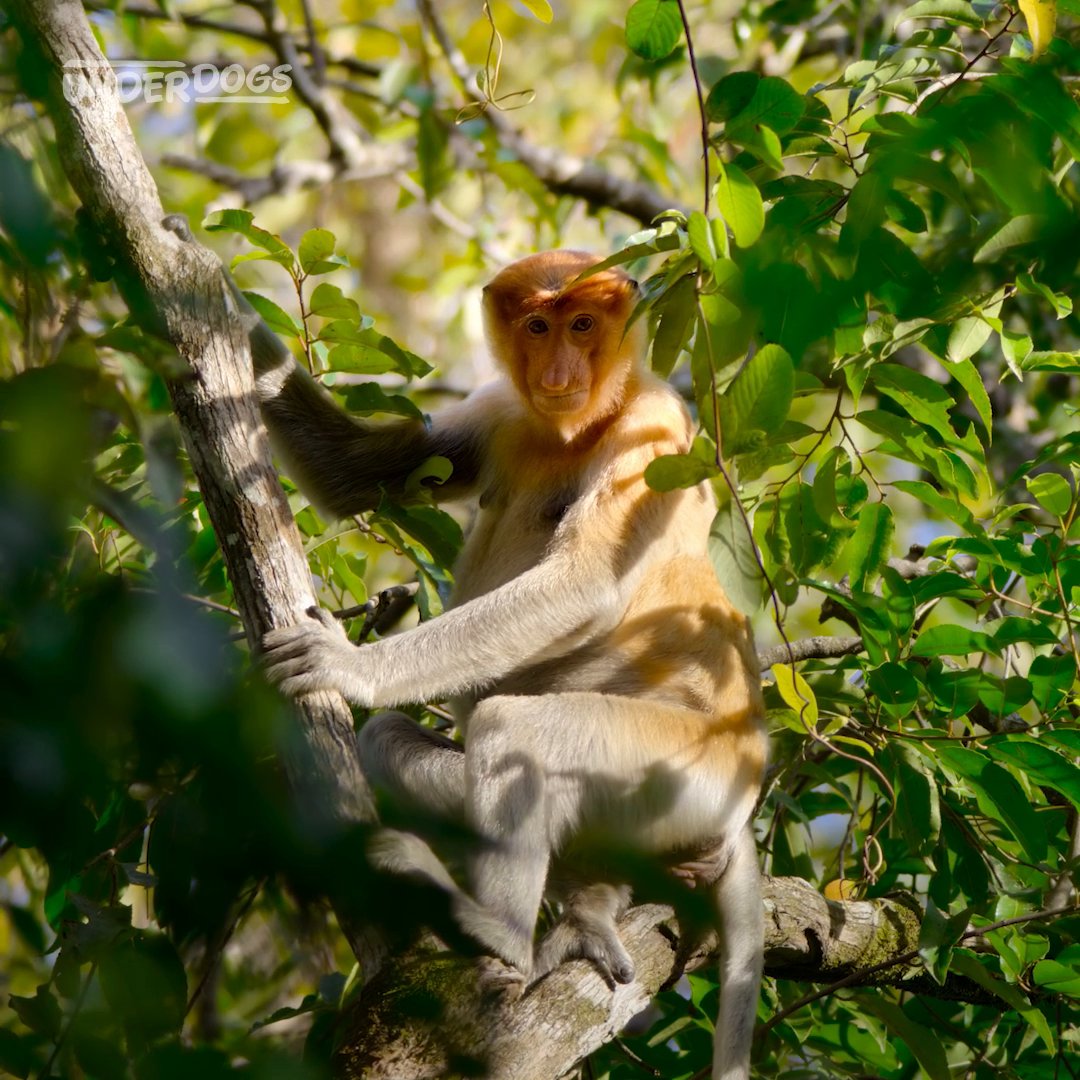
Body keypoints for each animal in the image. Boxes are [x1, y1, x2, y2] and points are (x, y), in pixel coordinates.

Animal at [256, 250, 768, 1080]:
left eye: (583, 323)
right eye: (537, 326)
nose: (559, 370)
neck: (577, 429)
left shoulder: (651, 432)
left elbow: (585, 582)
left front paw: (348, 664)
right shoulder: (499, 412)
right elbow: (357, 473)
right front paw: (180, 266)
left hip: (686, 771)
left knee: (513, 731)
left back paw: (495, 933)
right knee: (390, 744)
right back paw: (590, 906)